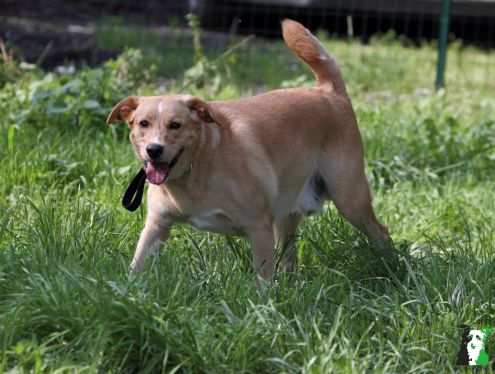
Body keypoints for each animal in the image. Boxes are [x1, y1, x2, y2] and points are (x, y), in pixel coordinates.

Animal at [107, 19, 392, 278]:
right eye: (143, 123)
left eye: (175, 125)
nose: (153, 150)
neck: (199, 164)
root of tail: (328, 91)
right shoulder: (157, 226)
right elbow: (136, 266)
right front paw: (129, 292)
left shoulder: (259, 228)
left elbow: (262, 281)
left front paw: (263, 302)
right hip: (288, 212)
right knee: (289, 254)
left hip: (349, 198)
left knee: (382, 233)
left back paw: (391, 268)